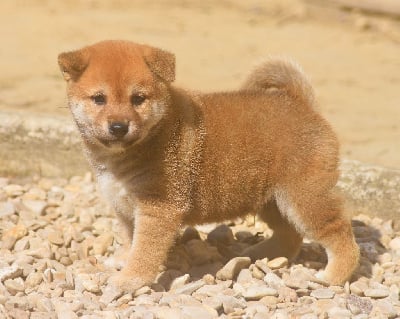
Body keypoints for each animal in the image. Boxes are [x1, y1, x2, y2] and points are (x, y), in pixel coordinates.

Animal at [57, 40, 360, 292]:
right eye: (99, 99)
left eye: (138, 99)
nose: (119, 127)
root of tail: (301, 104)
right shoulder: (124, 207)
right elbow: (131, 239)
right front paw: (122, 260)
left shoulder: (158, 208)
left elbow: (145, 251)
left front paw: (130, 279)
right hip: (273, 201)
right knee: (290, 236)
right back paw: (258, 255)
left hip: (305, 197)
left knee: (339, 233)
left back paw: (333, 276)